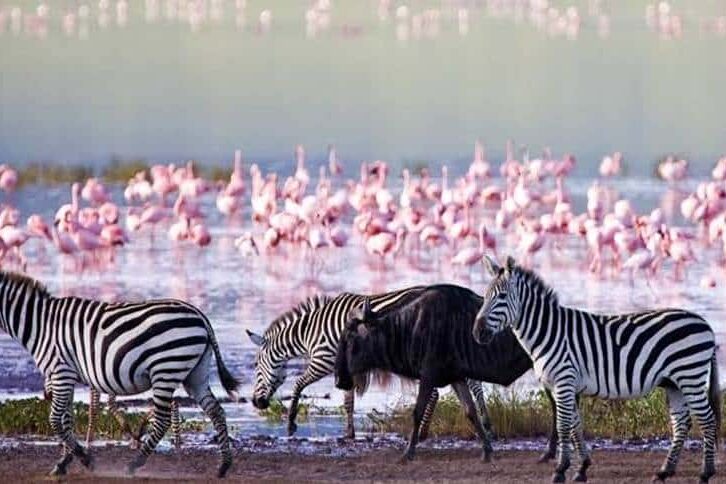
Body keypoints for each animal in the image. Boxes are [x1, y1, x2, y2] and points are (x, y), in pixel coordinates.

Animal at [0, 271, 239, 478]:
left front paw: (85, 459)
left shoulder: (61, 372)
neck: (39, 324)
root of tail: (200, 316)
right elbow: (66, 419)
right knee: (216, 411)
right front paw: (64, 462)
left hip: (165, 369)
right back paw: (224, 466)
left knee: (162, 420)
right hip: (195, 374)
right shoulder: (65, 376)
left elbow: (55, 420)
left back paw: (134, 464)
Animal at [246, 287, 494, 444]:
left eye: (256, 366)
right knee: (471, 384)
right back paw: (485, 423)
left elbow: (298, 384)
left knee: (439, 391)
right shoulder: (346, 369)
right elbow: (348, 403)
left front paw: (290, 424)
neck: (311, 332)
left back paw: (424, 432)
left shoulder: (323, 360)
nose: (256, 403)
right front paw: (349, 434)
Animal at [473, 256, 721, 483]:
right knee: (681, 423)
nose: (477, 332)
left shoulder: (564, 381)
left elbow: (563, 426)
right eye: (485, 296)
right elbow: (575, 426)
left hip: (690, 376)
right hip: (674, 383)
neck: (548, 332)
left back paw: (705, 473)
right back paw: (664, 472)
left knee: (707, 420)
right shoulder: (565, 386)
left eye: (502, 297)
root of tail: (705, 323)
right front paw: (581, 468)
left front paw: (560, 470)